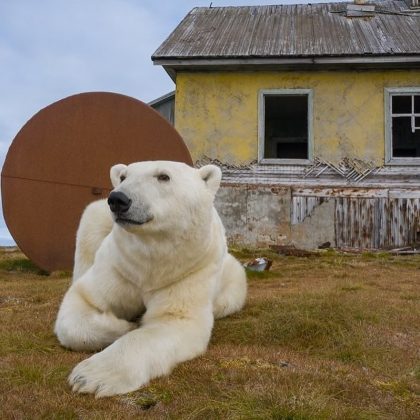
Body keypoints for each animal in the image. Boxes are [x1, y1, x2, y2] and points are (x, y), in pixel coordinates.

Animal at [54, 160, 248, 398]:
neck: (152, 262)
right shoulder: (120, 266)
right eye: (123, 176)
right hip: (97, 220)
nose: (118, 199)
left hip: (232, 276)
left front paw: (91, 376)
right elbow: (83, 301)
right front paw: (123, 326)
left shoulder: (188, 270)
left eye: (163, 176)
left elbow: (173, 319)